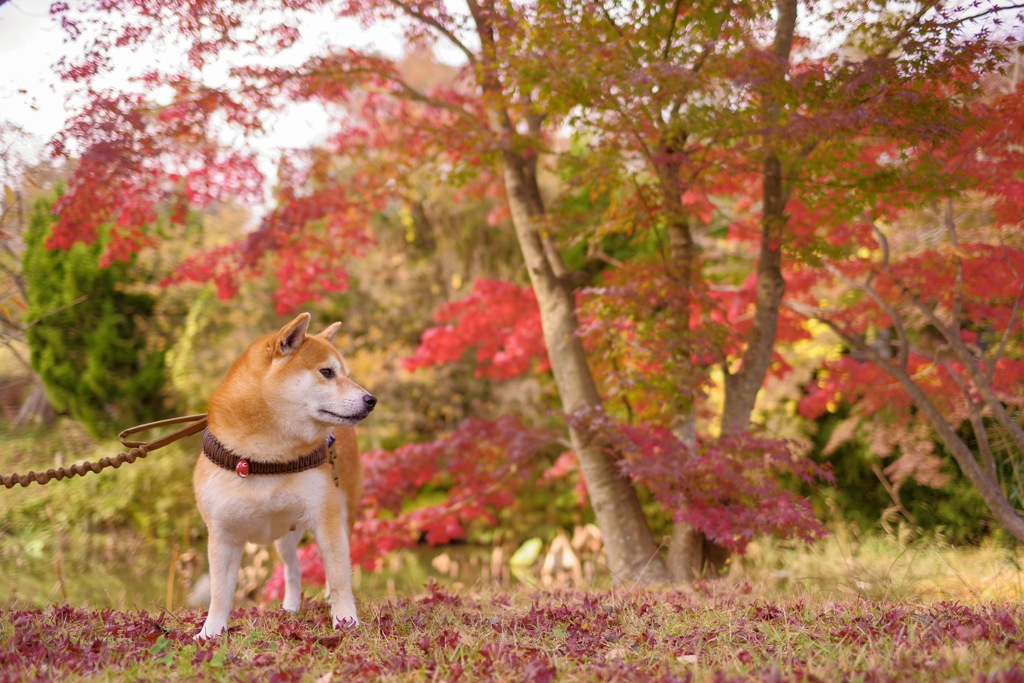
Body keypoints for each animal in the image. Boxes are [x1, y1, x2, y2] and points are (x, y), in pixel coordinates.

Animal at [192, 313, 376, 638]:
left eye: (346, 373)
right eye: (327, 372)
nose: (370, 399)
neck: (266, 457)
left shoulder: (326, 519)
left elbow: (340, 577)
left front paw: (346, 620)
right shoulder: (222, 534)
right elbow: (220, 592)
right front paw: (210, 632)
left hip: (342, 513)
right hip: (284, 538)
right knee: (293, 569)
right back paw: (290, 608)